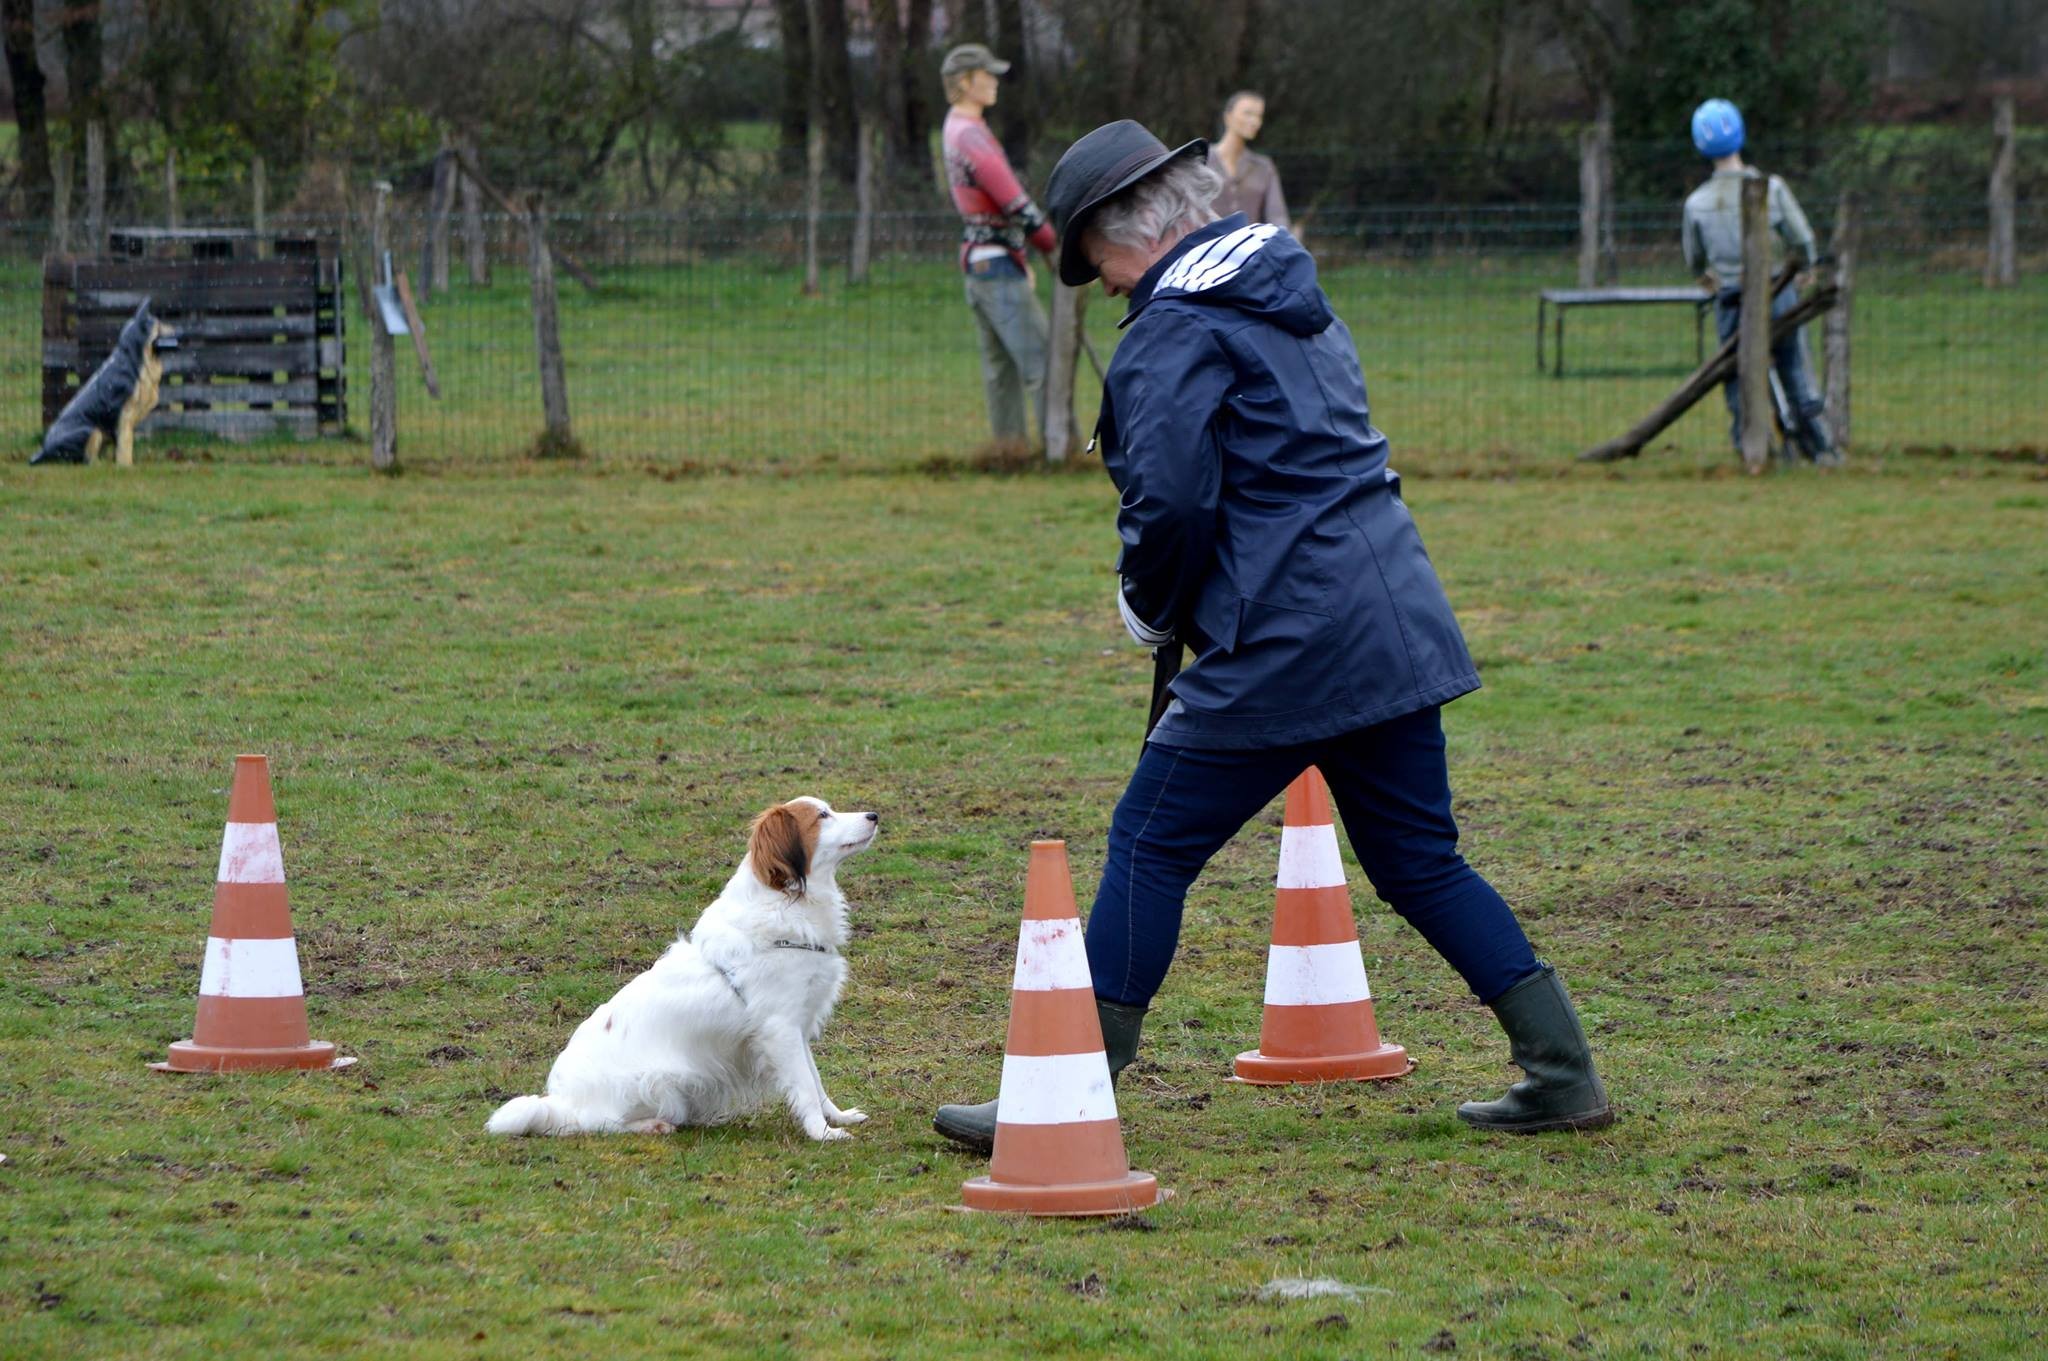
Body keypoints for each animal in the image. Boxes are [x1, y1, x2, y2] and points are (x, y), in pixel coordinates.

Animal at [493, 798, 880, 1137]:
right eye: (822, 815)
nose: (874, 815)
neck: (786, 905)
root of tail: (560, 1100)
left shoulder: (797, 1027)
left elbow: (816, 1081)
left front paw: (838, 1117)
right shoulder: (780, 1028)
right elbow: (805, 1088)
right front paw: (822, 1133)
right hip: (654, 1082)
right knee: (595, 1124)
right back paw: (651, 1125)